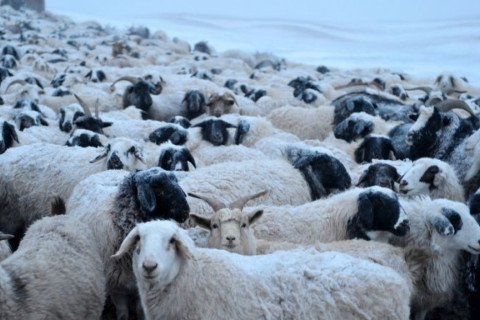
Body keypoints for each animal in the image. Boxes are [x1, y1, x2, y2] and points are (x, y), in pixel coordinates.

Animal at [66, 168, 190, 320]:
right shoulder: (115, 282)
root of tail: (107, 170)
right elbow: (122, 312)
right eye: (158, 185)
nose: (185, 211)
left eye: (175, 180)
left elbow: (140, 310)